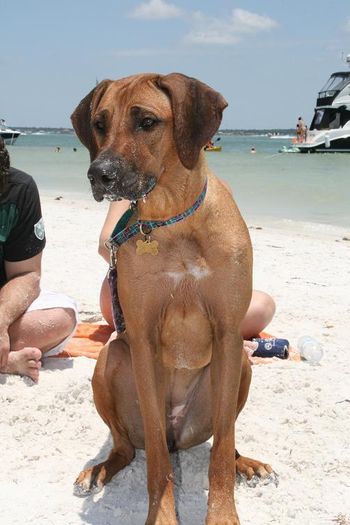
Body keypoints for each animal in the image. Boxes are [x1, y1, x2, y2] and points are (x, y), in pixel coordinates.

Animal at [72, 73, 274, 524]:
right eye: (99, 123)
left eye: (147, 121)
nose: (99, 174)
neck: (172, 219)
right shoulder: (144, 339)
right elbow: (158, 463)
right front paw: (162, 514)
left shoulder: (228, 332)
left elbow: (220, 453)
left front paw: (222, 513)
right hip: (111, 359)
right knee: (128, 447)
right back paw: (99, 469)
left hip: (240, 366)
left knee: (226, 439)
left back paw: (247, 463)